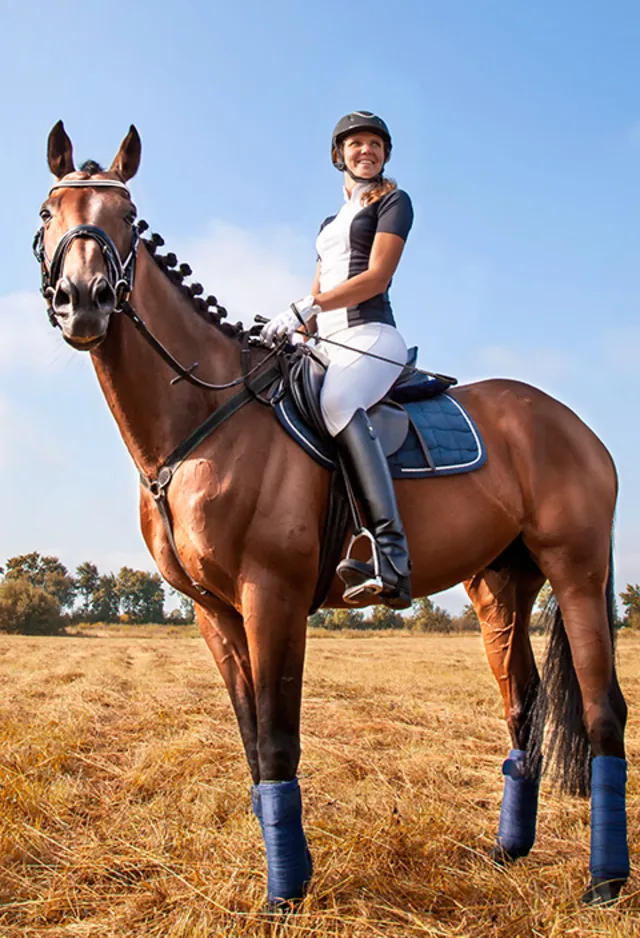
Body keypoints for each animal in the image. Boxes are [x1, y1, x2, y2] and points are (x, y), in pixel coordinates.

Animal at [32, 124, 628, 908]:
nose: (83, 302)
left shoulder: (273, 594)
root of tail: (577, 425)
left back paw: (605, 882)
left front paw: (284, 894)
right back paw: (509, 852)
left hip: (576, 573)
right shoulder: (213, 611)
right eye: (49, 213)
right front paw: (287, 877)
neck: (198, 426)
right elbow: (251, 740)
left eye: (128, 219)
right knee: (522, 704)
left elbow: (278, 738)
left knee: (602, 711)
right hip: (500, 586)